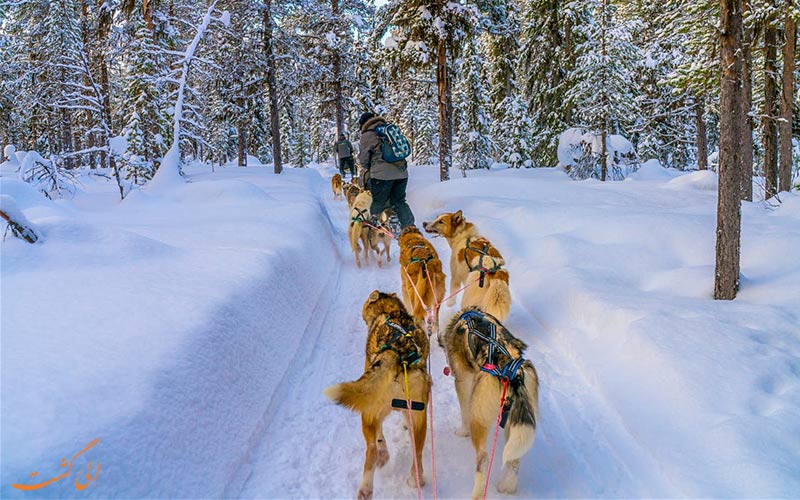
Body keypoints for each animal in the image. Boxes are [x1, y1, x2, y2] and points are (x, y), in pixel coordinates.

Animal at [324, 292, 432, 500]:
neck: (389, 311)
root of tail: (398, 354)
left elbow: (379, 435)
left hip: (371, 412)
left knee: (373, 448)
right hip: (419, 417)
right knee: (416, 451)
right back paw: (413, 479)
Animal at [440, 306, 540, 498]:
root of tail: (513, 374)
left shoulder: (463, 383)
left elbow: (464, 411)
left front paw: (462, 431)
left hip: (479, 419)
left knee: (483, 459)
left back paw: (477, 494)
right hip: (512, 421)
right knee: (514, 460)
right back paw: (506, 487)